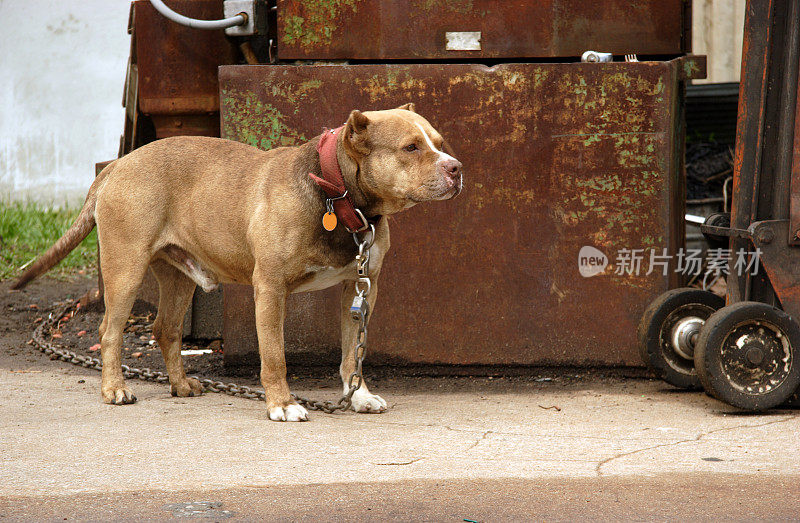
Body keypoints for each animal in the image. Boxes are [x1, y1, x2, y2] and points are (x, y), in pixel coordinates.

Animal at [10, 105, 462, 422]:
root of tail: (119, 164)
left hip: (177, 278)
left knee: (166, 329)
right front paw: (282, 404)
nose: (456, 168)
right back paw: (114, 389)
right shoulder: (271, 288)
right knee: (110, 331)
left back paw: (181, 385)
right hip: (125, 269)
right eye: (411, 147)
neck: (337, 191)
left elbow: (354, 353)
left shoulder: (360, 287)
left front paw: (360, 396)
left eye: (440, 142)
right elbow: (275, 355)